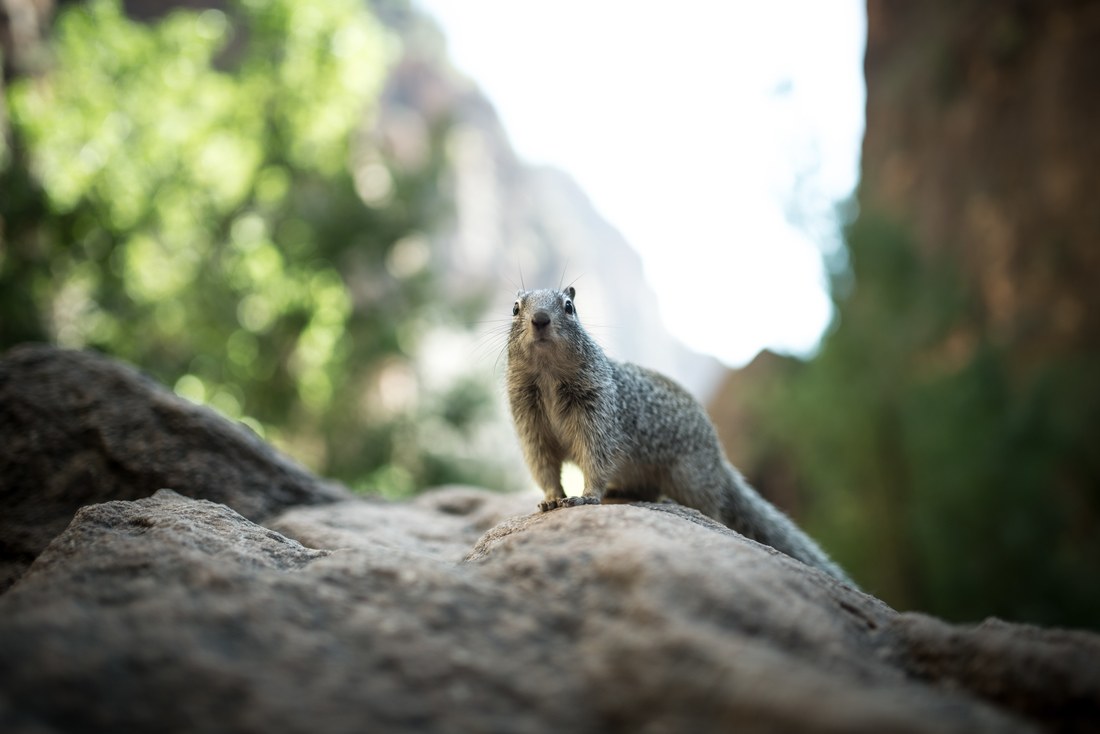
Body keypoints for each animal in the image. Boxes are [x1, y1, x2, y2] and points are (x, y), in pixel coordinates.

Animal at [503, 286, 853, 585]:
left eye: (569, 307)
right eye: (515, 307)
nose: (540, 319)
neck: (548, 377)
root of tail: (720, 461)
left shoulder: (599, 419)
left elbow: (596, 459)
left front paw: (586, 496)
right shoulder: (531, 428)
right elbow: (544, 467)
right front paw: (551, 498)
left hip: (691, 479)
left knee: (713, 509)